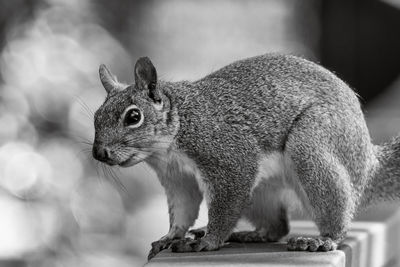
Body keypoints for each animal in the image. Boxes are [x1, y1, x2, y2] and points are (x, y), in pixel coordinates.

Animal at [92, 53, 400, 260]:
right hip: (260, 192)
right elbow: (182, 211)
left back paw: (323, 240)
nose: (99, 152)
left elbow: (225, 205)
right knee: (278, 226)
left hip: (313, 145)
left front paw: (209, 240)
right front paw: (170, 237)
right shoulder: (178, 178)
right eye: (96, 116)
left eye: (133, 117)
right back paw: (250, 233)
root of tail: (368, 163)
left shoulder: (230, 159)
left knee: (335, 213)